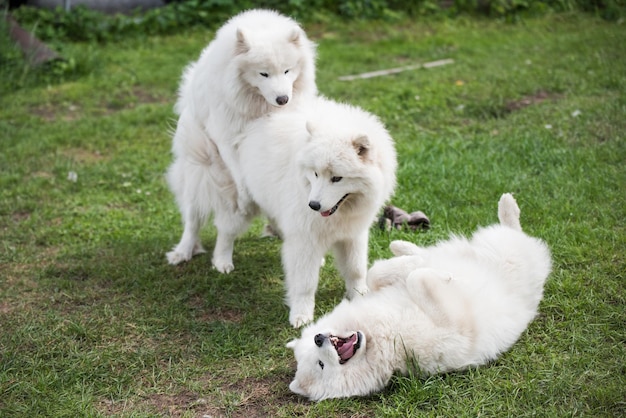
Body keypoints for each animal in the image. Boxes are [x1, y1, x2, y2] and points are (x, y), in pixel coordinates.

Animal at [165, 9, 314, 272]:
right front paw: (245, 197)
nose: (283, 99)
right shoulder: (227, 138)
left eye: (287, 70)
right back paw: (188, 253)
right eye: (263, 73)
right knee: (195, 222)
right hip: (202, 178)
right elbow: (240, 177)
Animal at [238, 96, 394, 328]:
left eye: (337, 178)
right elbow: (305, 282)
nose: (313, 205)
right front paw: (301, 314)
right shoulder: (305, 239)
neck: (341, 213)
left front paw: (360, 296)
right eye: (315, 174)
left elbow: (356, 269)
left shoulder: (353, 233)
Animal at [286, 194, 548, 400]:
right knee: (516, 231)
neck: (381, 334)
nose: (319, 338)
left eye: (315, 349)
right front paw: (442, 275)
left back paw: (403, 245)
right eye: (321, 364)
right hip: (517, 254)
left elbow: (378, 273)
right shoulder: (456, 327)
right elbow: (417, 278)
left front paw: (416, 263)